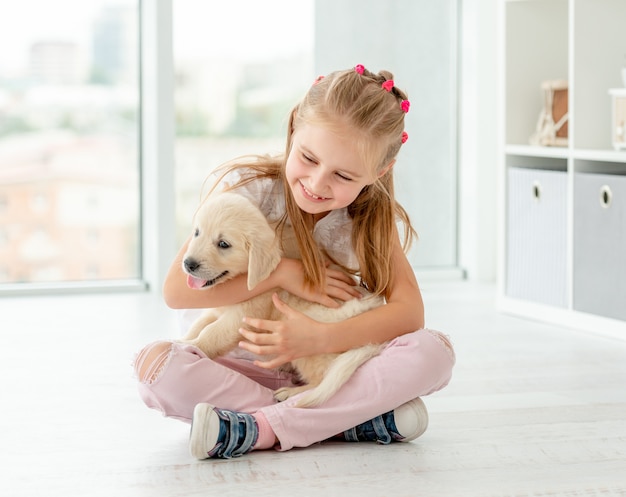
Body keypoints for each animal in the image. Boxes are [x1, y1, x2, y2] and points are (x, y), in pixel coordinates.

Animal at [178, 191, 382, 406]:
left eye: (223, 244)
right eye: (197, 233)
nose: (188, 263)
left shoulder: (241, 318)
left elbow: (212, 333)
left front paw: (192, 346)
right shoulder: (218, 309)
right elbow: (200, 325)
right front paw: (183, 339)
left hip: (307, 338)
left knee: (324, 377)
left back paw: (290, 394)